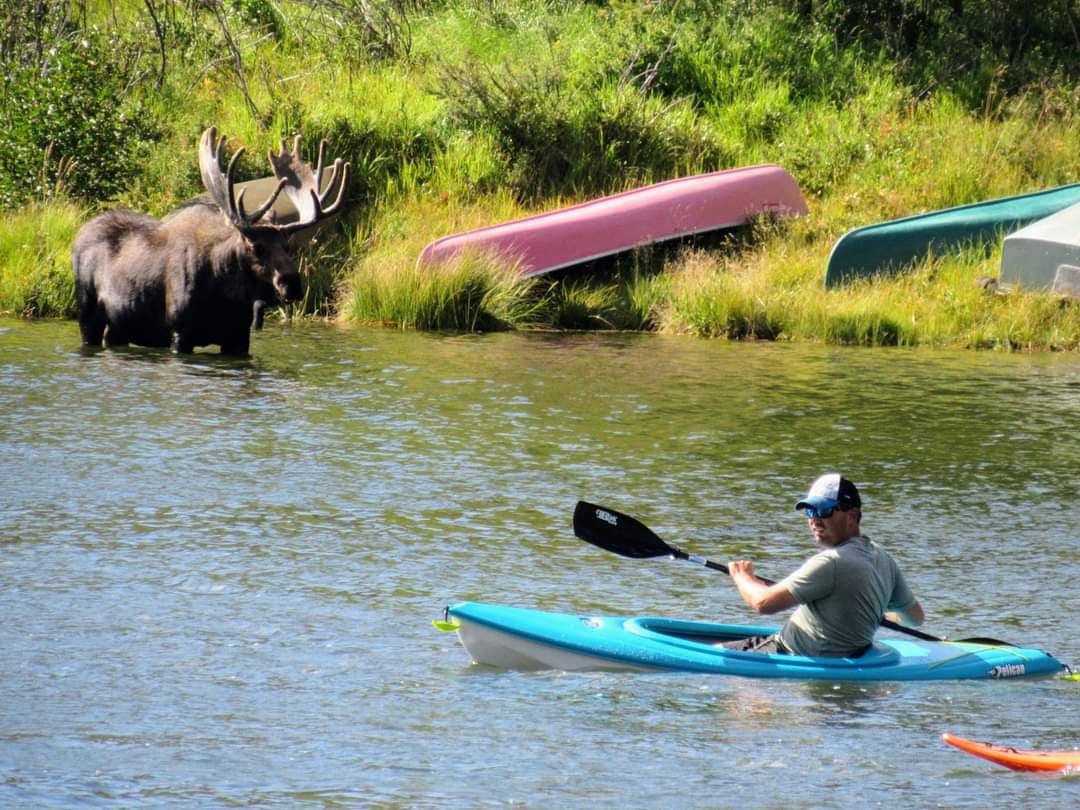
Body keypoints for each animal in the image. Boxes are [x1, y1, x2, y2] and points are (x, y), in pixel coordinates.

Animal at [72, 127, 349, 355]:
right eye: (255, 247)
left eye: (288, 246)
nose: (292, 283)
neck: (226, 296)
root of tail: (79, 233)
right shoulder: (180, 332)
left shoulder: (238, 337)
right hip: (87, 313)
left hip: (119, 325)